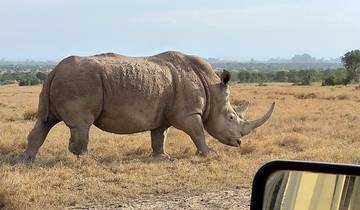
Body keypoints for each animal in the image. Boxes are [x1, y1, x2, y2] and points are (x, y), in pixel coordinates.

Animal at [22, 51, 274, 160]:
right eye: (231, 117)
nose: (239, 143)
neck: (212, 89)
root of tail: (54, 69)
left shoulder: (163, 114)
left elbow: (159, 136)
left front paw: (162, 157)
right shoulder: (188, 113)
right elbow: (198, 132)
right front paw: (209, 155)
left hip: (62, 81)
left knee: (45, 121)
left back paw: (27, 160)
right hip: (80, 81)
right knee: (81, 125)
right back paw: (83, 159)